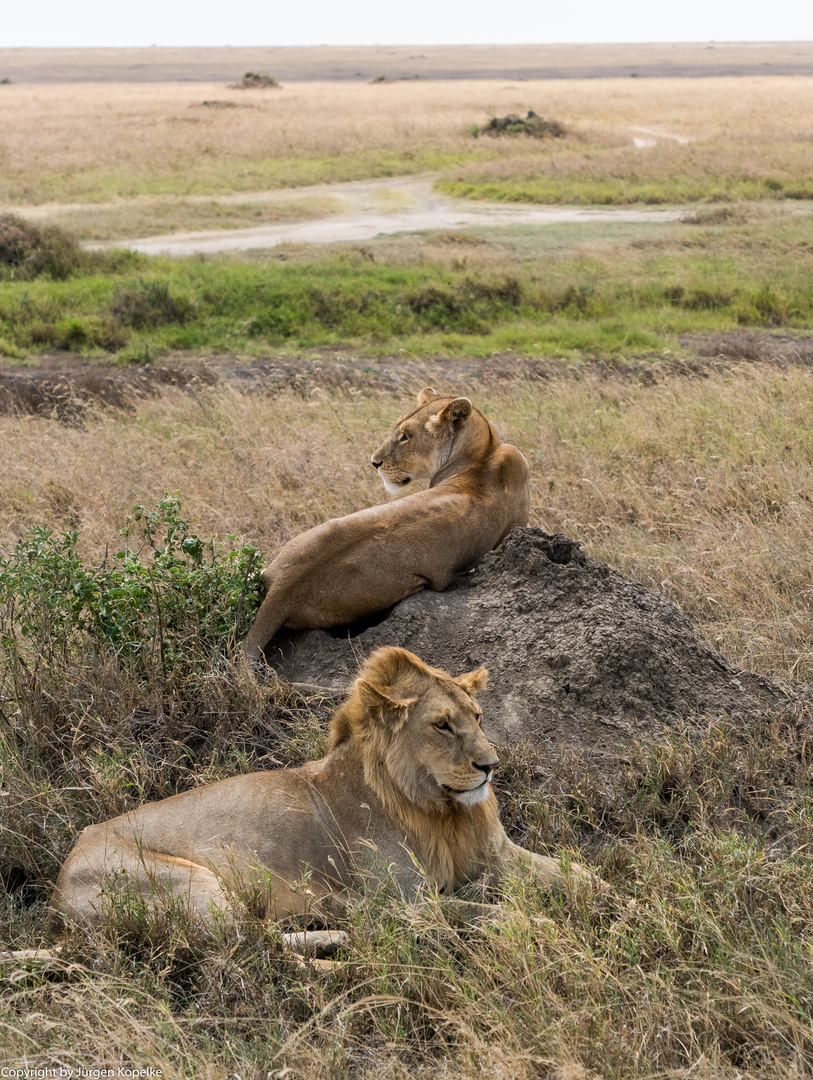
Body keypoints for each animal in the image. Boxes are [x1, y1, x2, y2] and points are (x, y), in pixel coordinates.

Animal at [49, 648, 591, 937]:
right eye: (442, 725)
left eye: (478, 718)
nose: (491, 766)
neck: (441, 811)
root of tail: (59, 880)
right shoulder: (408, 903)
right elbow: (494, 913)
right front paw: (546, 927)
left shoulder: (497, 853)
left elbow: (580, 876)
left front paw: (607, 903)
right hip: (196, 888)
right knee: (254, 945)